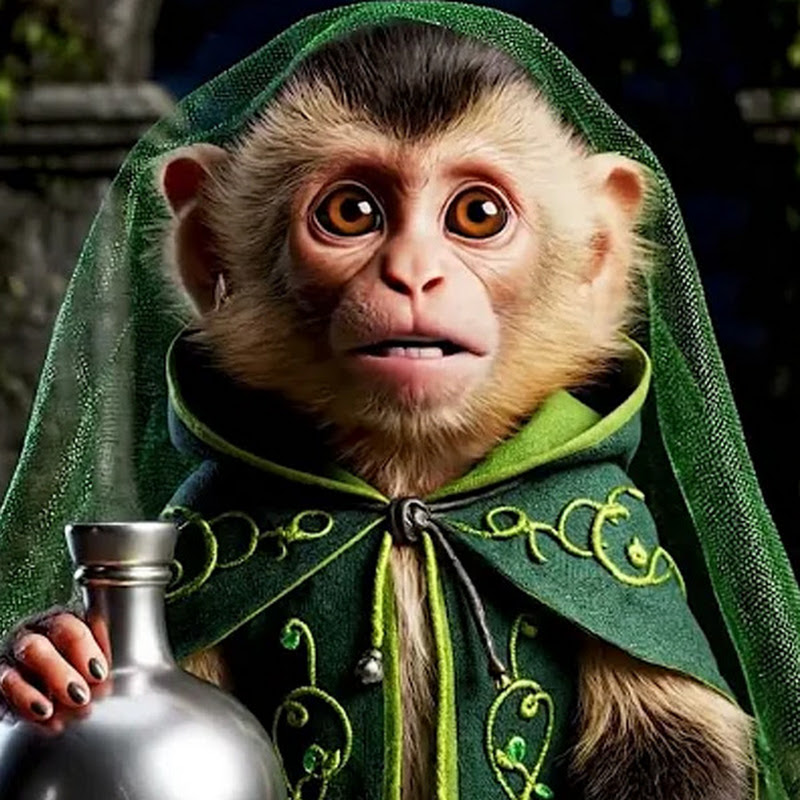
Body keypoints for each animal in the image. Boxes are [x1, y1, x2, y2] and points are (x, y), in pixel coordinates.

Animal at [0, 20, 752, 800]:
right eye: (352, 212)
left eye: (478, 214)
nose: (414, 274)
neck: (407, 488)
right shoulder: (208, 542)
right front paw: (52, 650)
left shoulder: (622, 553)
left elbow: (674, 747)